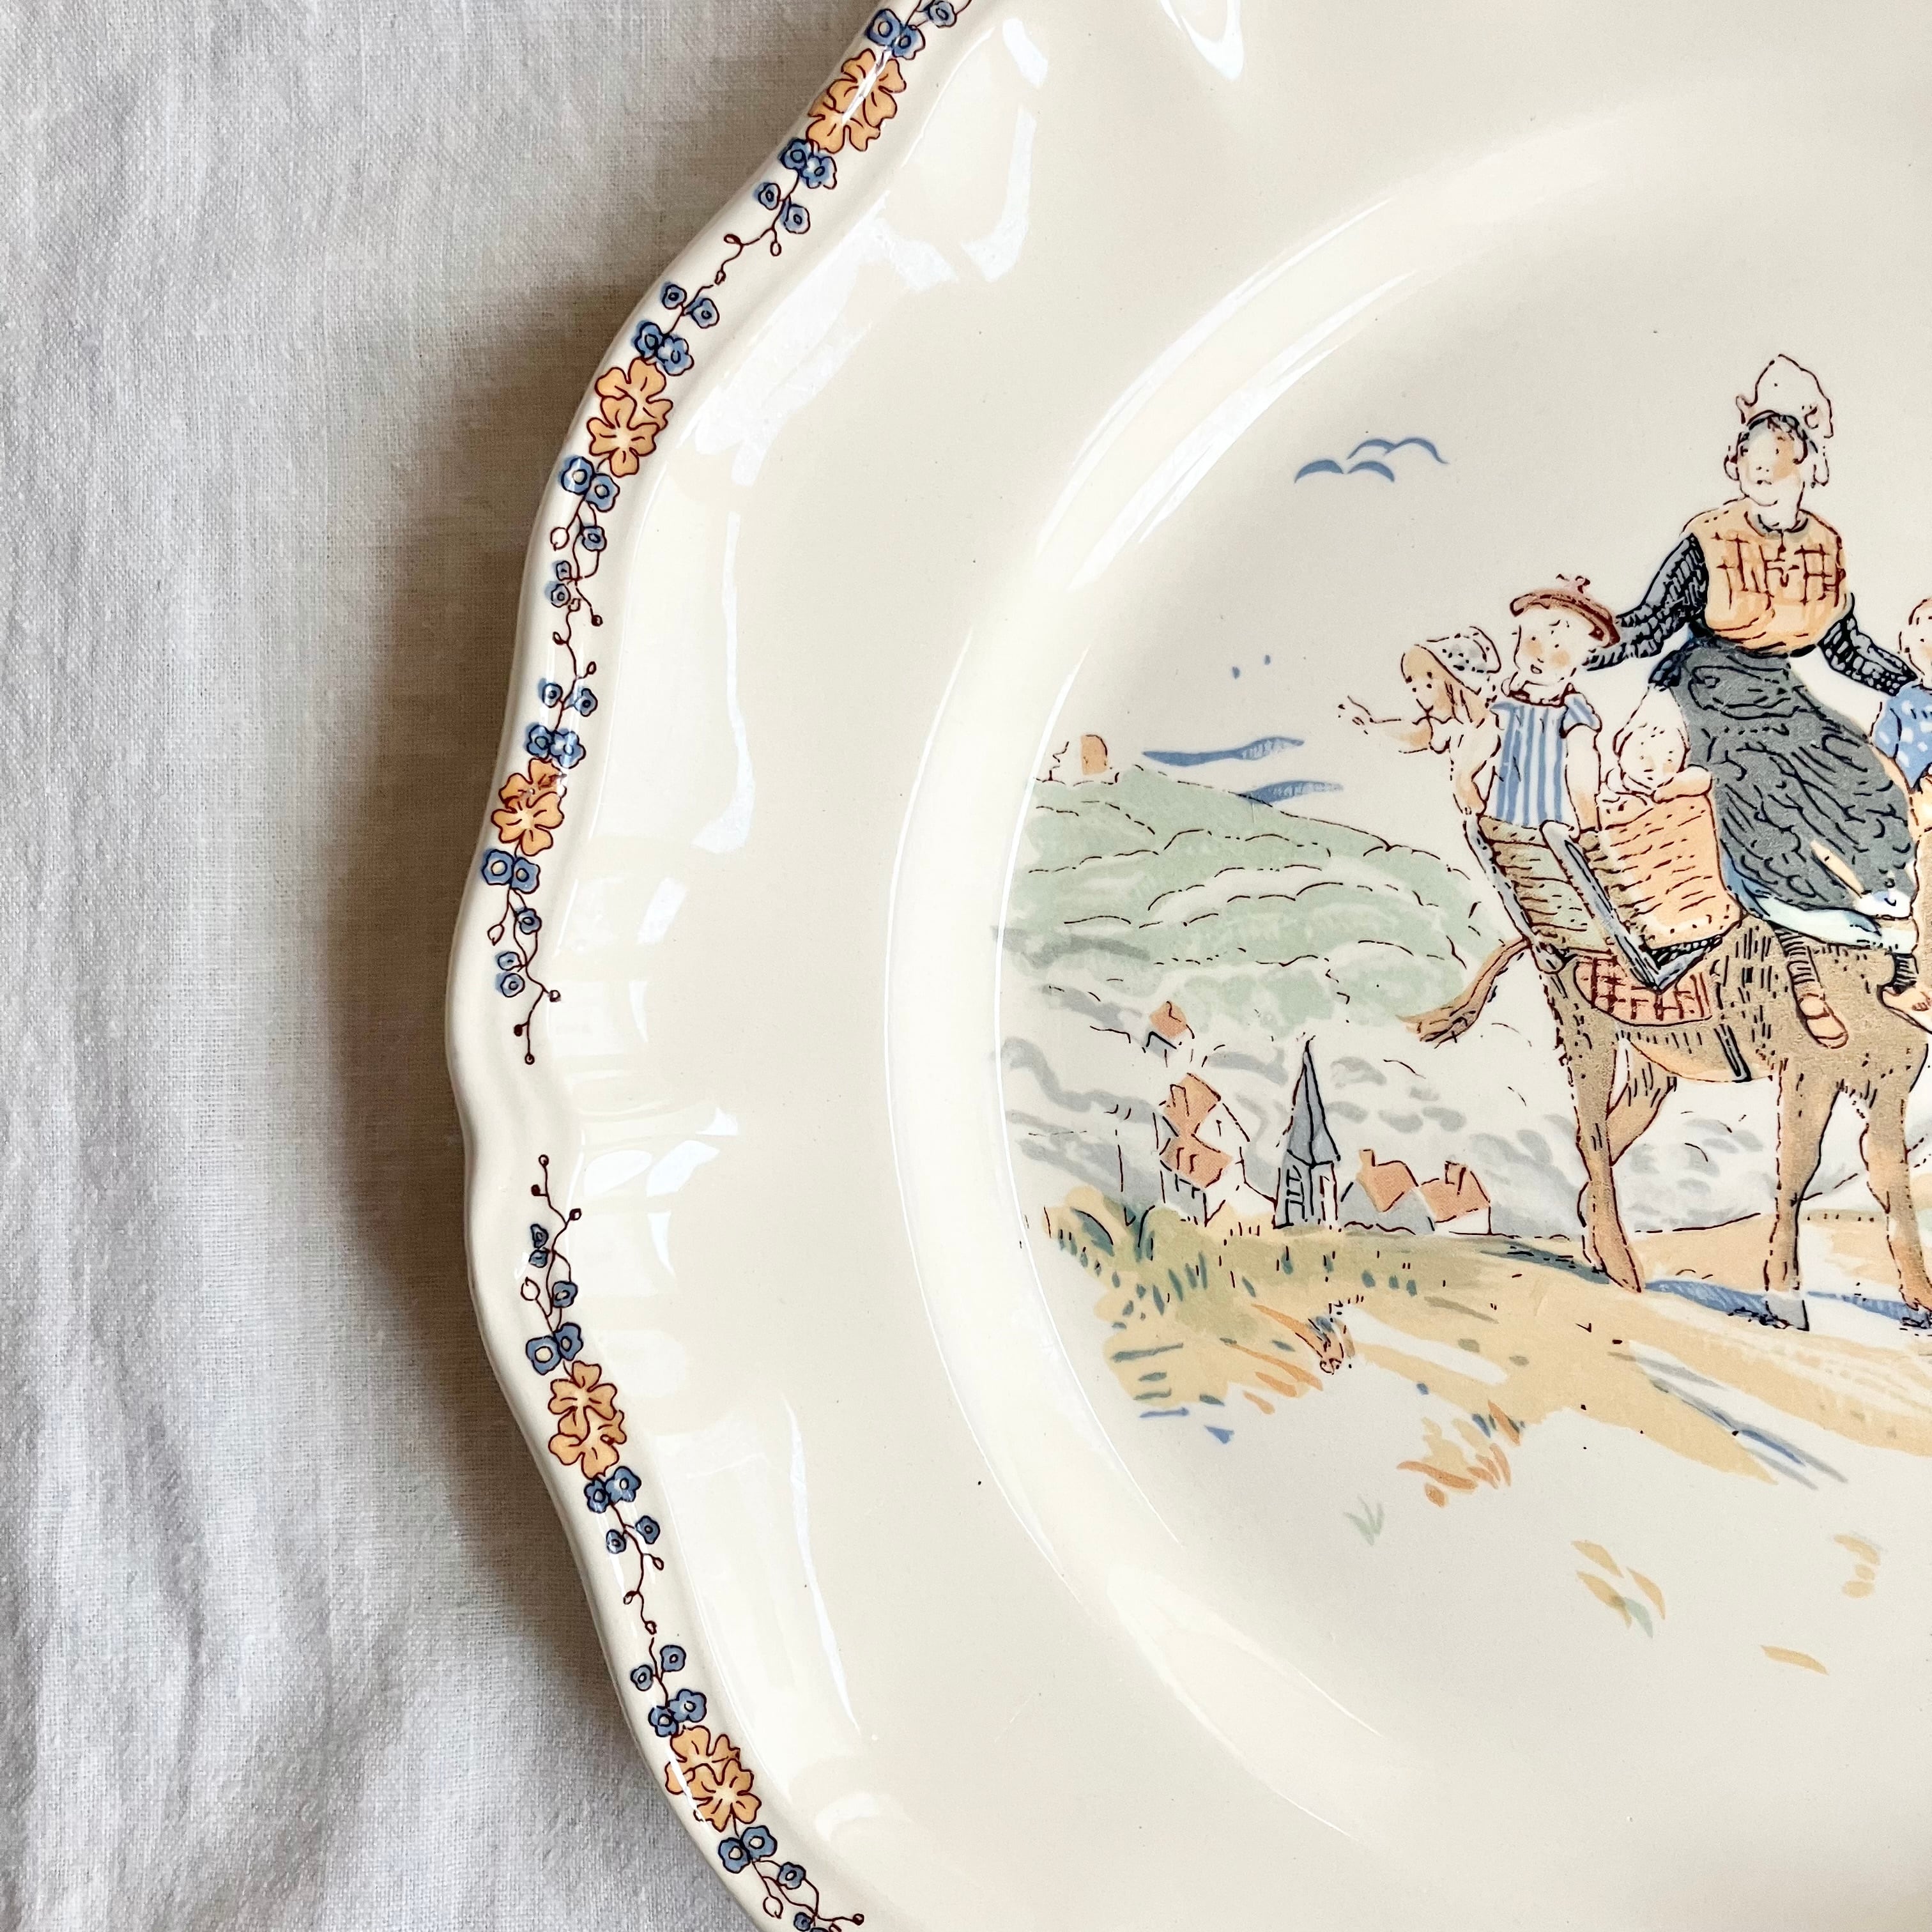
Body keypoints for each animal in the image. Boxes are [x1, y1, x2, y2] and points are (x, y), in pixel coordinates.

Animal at [1409, 919, 1932, 1320]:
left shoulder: (1890, 1086)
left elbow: (1890, 1176)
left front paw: (1921, 1298)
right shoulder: (1809, 1075)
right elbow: (1799, 1170)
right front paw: (1785, 1298)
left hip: (1651, 1062)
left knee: (1612, 1129)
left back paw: (1596, 1245)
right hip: (1587, 1029)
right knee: (1592, 1135)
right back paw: (1622, 1267)